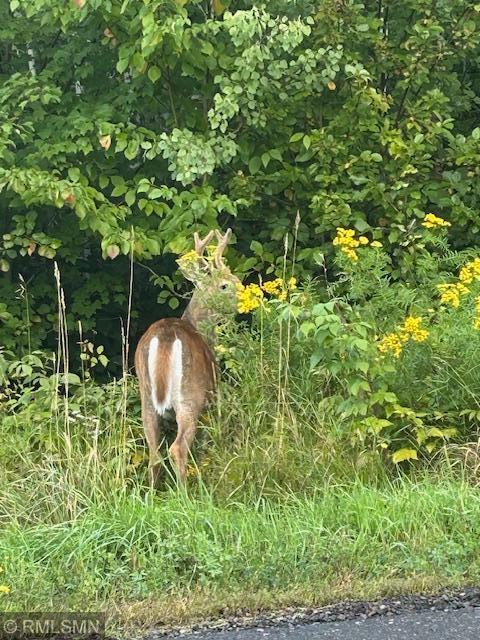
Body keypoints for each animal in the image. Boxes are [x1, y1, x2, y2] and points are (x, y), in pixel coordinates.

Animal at [134, 229, 240, 486]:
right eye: (224, 285)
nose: (244, 296)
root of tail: (165, 336)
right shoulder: (213, 395)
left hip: (146, 396)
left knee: (154, 453)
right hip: (190, 395)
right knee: (178, 448)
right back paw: (186, 493)